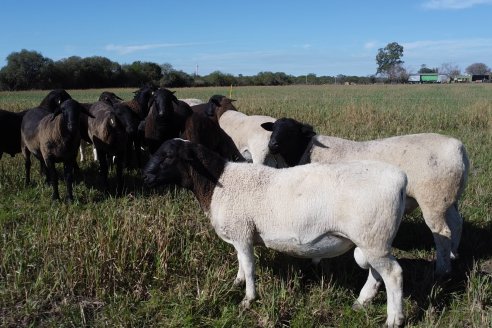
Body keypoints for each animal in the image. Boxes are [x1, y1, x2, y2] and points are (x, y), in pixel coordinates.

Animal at [144, 139, 410, 328]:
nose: (146, 177)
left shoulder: (242, 232)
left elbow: (249, 266)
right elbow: (240, 262)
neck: (218, 183)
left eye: (169, 156)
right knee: (376, 273)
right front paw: (237, 282)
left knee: (393, 274)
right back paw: (360, 302)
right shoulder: (241, 233)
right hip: (373, 239)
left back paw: (393, 319)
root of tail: (400, 178)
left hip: (373, 238)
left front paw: (248, 299)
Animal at [262, 118, 468, 276]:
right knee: (456, 224)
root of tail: (459, 149)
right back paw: (454, 255)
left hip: (433, 199)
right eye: (274, 128)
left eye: (291, 131)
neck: (307, 150)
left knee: (442, 233)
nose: (272, 145)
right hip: (449, 198)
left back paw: (442, 270)